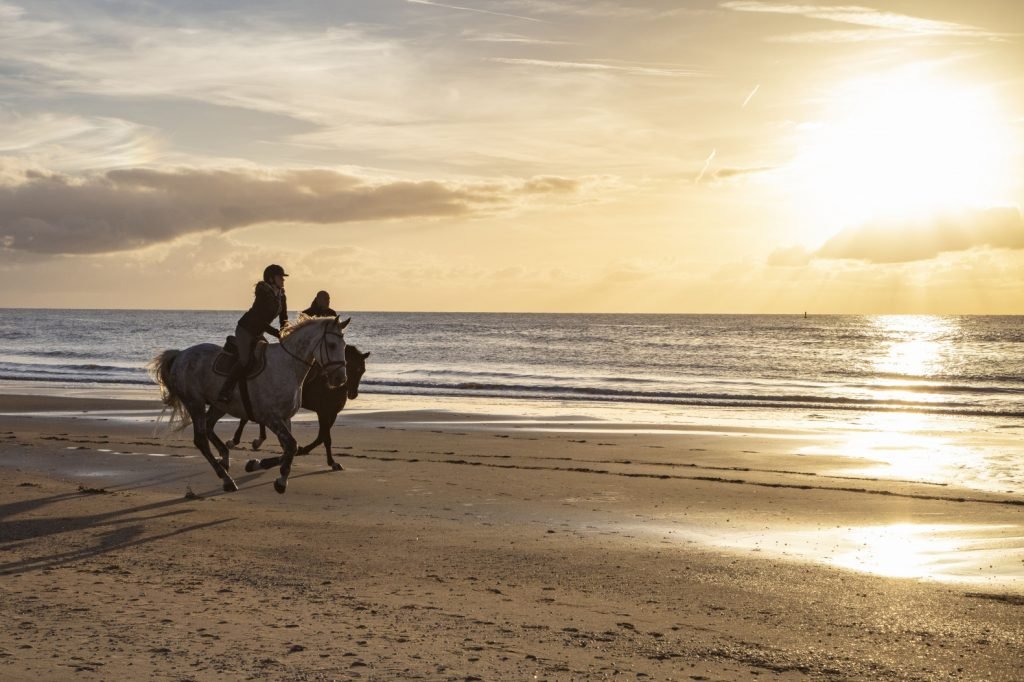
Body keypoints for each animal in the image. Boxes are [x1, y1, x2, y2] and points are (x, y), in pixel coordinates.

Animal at [146, 315, 350, 491]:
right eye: (332, 345)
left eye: (344, 345)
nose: (340, 379)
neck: (288, 366)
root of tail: (181, 355)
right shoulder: (271, 418)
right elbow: (291, 446)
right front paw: (280, 481)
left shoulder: (285, 418)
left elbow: (290, 449)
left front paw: (258, 464)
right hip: (194, 403)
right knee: (201, 439)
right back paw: (226, 479)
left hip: (218, 405)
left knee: (209, 428)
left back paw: (225, 458)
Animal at [232, 346, 372, 473]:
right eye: (350, 368)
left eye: (362, 370)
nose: (353, 394)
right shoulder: (323, 412)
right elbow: (326, 438)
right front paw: (332, 462)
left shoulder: (332, 413)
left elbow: (321, 437)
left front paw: (303, 450)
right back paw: (239, 441)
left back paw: (257, 441)